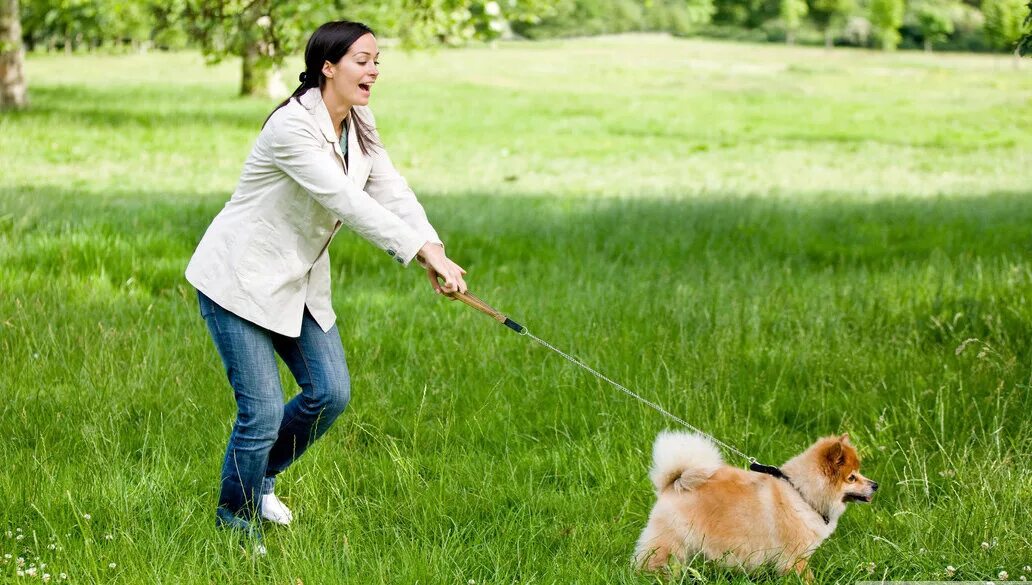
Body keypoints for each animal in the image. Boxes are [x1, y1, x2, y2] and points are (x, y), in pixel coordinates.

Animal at [631, 433, 875, 577]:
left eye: (858, 473)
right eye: (852, 478)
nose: (875, 485)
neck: (802, 495)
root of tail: (673, 482)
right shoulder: (794, 558)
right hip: (671, 542)